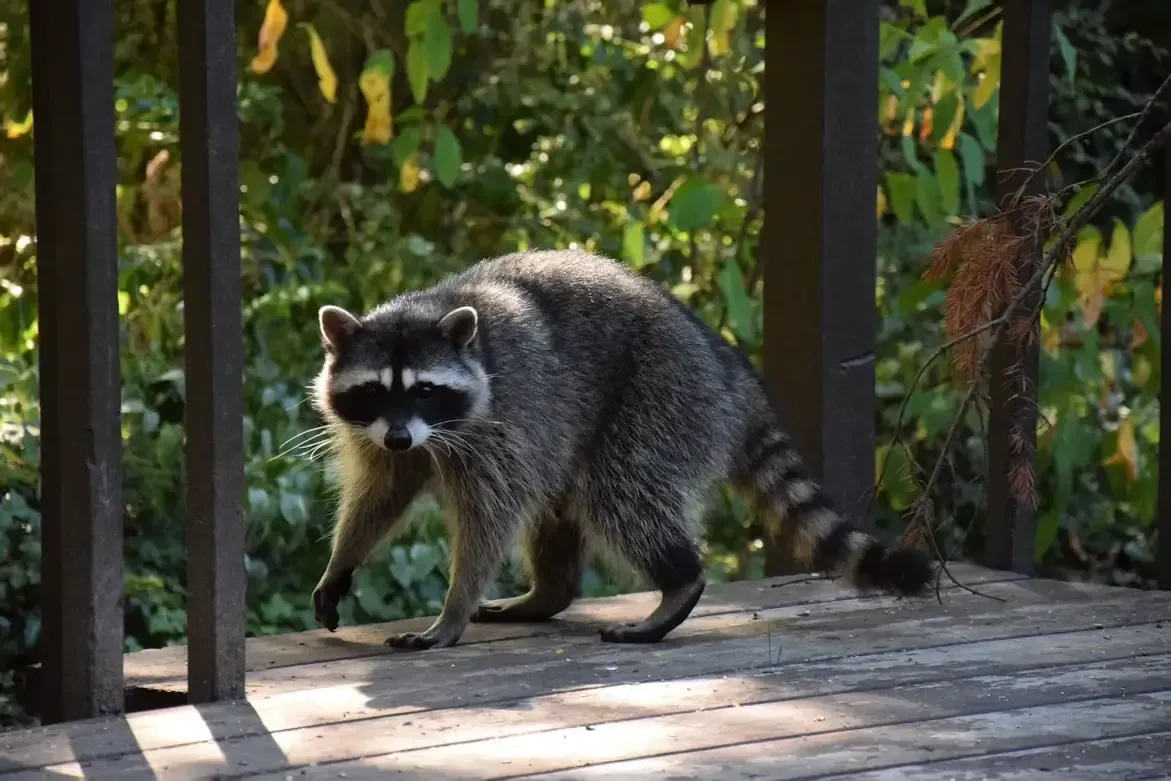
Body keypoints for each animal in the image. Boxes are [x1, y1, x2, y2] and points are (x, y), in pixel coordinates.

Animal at [310, 249, 934, 650]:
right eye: (374, 392)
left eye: (424, 389)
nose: (399, 436)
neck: (433, 306)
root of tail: (727, 369)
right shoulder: (390, 437)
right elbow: (381, 495)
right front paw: (342, 562)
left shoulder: (504, 422)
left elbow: (489, 518)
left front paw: (453, 609)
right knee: (562, 506)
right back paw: (550, 593)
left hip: (660, 397)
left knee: (619, 494)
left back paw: (678, 581)